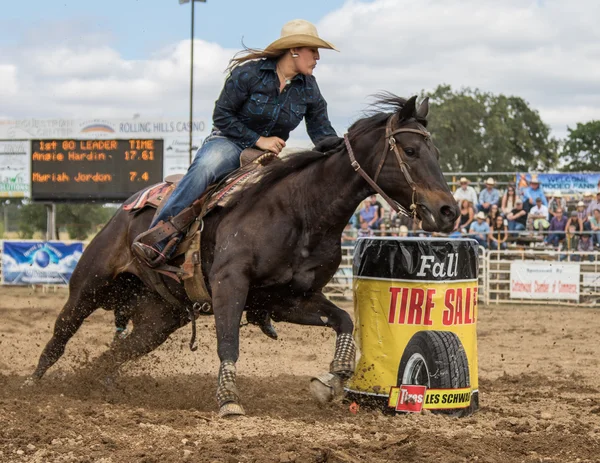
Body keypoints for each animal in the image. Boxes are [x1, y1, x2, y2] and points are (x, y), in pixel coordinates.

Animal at [28, 93, 460, 416]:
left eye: (437, 152)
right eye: (410, 149)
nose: (448, 211)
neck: (301, 209)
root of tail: (126, 210)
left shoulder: (287, 298)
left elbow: (344, 320)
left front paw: (332, 378)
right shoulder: (229, 285)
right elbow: (228, 342)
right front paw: (229, 400)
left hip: (158, 319)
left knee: (116, 353)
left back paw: (95, 385)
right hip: (88, 287)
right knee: (59, 338)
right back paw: (32, 387)